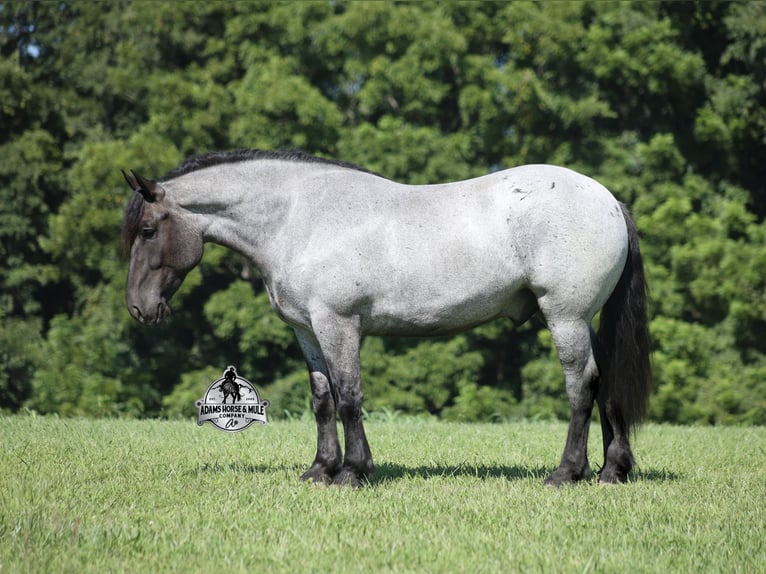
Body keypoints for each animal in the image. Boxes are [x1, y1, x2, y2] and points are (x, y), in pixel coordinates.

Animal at [121, 149, 651, 487]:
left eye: (147, 230)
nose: (138, 308)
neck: (298, 216)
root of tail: (608, 200)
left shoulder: (338, 324)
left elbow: (350, 396)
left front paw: (353, 472)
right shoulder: (306, 330)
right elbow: (323, 400)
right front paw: (320, 470)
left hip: (565, 317)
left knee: (582, 385)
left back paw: (566, 473)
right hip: (585, 320)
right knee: (606, 383)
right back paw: (612, 471)